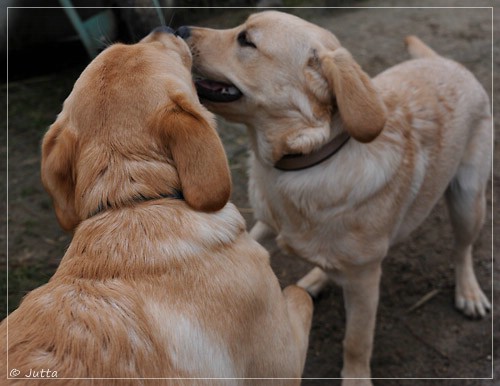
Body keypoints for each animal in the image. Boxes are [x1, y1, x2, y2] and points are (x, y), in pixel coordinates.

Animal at [0, 25, 312, 384]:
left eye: (124, 45)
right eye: (164, 50)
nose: (165, 28)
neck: (132, 202)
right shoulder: (278, 362)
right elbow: (299, 293)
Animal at [177, 10, 492, 384]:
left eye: (247, 40)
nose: (178, 28)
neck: (300, 163)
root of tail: (444, 61)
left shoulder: (365, 282)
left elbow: (356, 341)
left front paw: (355, 377)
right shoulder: (265, 223)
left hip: (468, 201)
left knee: (462, 250)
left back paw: (468, 292)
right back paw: (316, 277)